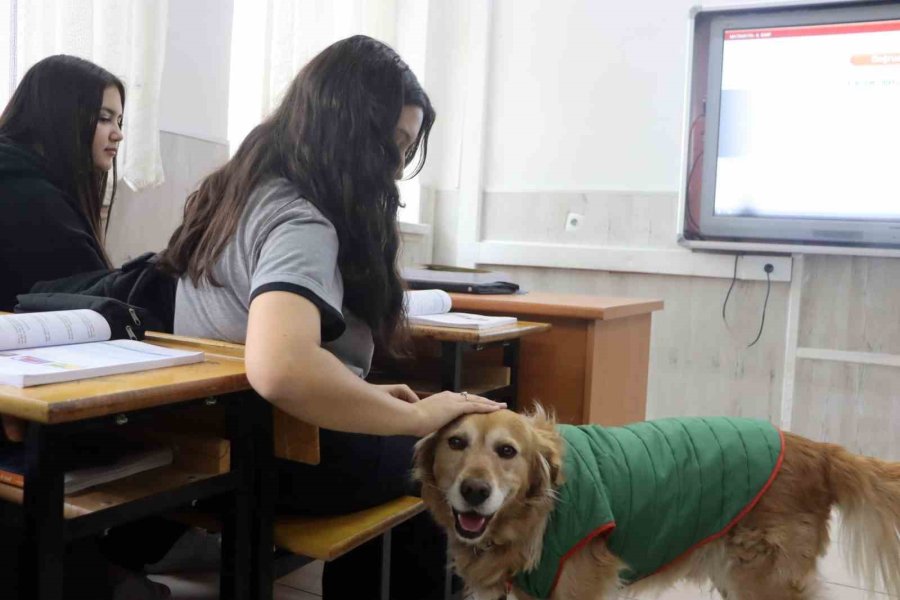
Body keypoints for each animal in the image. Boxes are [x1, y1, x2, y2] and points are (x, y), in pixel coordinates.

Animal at [414, 408, 900, 600]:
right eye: (456, 442)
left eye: (507, 451)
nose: (475, 491)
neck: (542, 513)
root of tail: (818, 449)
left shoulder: (579, 587)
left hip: (764, 581)